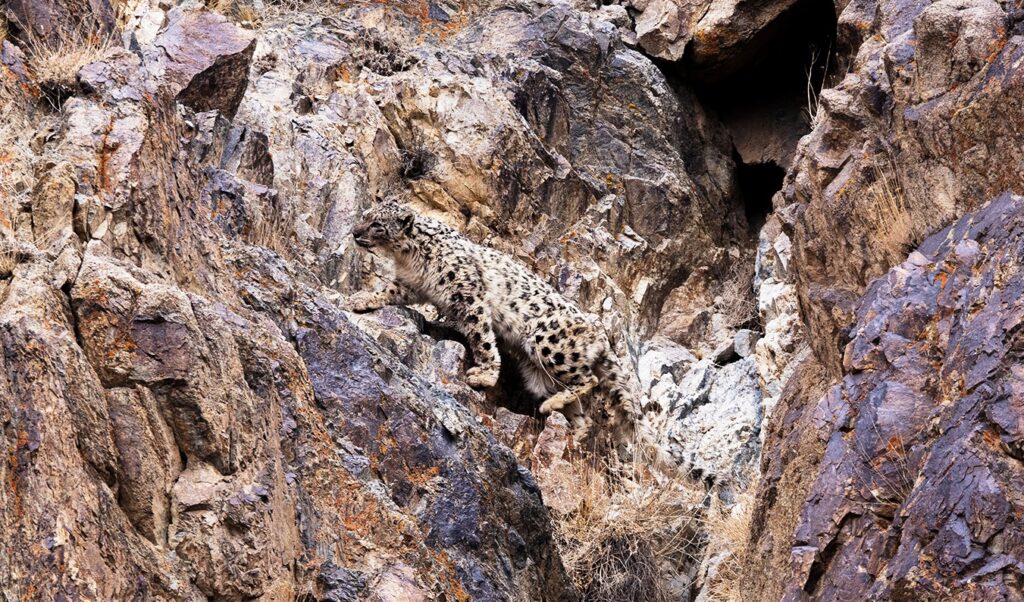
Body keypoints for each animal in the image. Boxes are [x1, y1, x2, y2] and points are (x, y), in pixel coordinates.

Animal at [346, 199, 634, 428]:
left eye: (377, 224)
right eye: (365, 215)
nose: (355, 232)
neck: (409, 257)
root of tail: (600, 336)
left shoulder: (469, 297)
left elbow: (481, 337)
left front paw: (483, 375)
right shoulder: (410, 285)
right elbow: (387, 290)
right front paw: (360, 299)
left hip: (549, 343)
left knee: (589, 378)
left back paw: (552, 405)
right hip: (538, 374)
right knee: (580, 408)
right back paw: (569, 421)